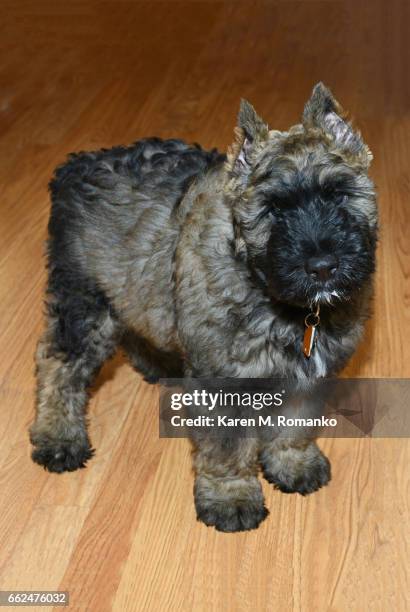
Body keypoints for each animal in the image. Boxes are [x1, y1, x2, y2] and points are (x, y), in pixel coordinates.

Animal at [30, 83, 378, 532]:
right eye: (272, 209)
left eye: (339, 195)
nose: (321, 266)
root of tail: (73, 166)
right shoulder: (223, 383)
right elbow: (227, 446)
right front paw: (231, 496)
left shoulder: (308, 374)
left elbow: (295, 423)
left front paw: (292, 464)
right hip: (85, 301)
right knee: (58, 362)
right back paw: (58, 436)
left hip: (130, 286)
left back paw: (159, 364)